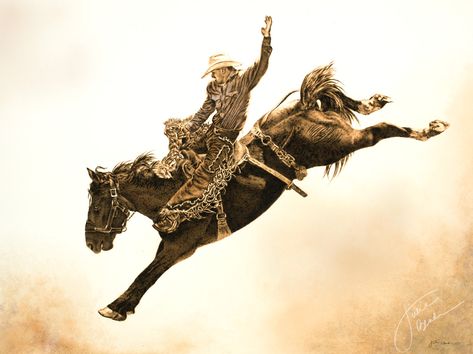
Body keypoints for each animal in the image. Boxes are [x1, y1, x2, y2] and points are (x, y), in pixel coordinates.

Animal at [85, 63, 450, 320]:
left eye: (98, 205)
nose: (91, 244)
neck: (174, 194)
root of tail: (303, 108)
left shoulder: (178, 247)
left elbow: (146, 274)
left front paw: (115, 307)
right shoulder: (173, 247)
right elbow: (148, 274)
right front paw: (121, 306)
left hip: (336, 145)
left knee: (378, 132)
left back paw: (429, 129)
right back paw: (377, 104)